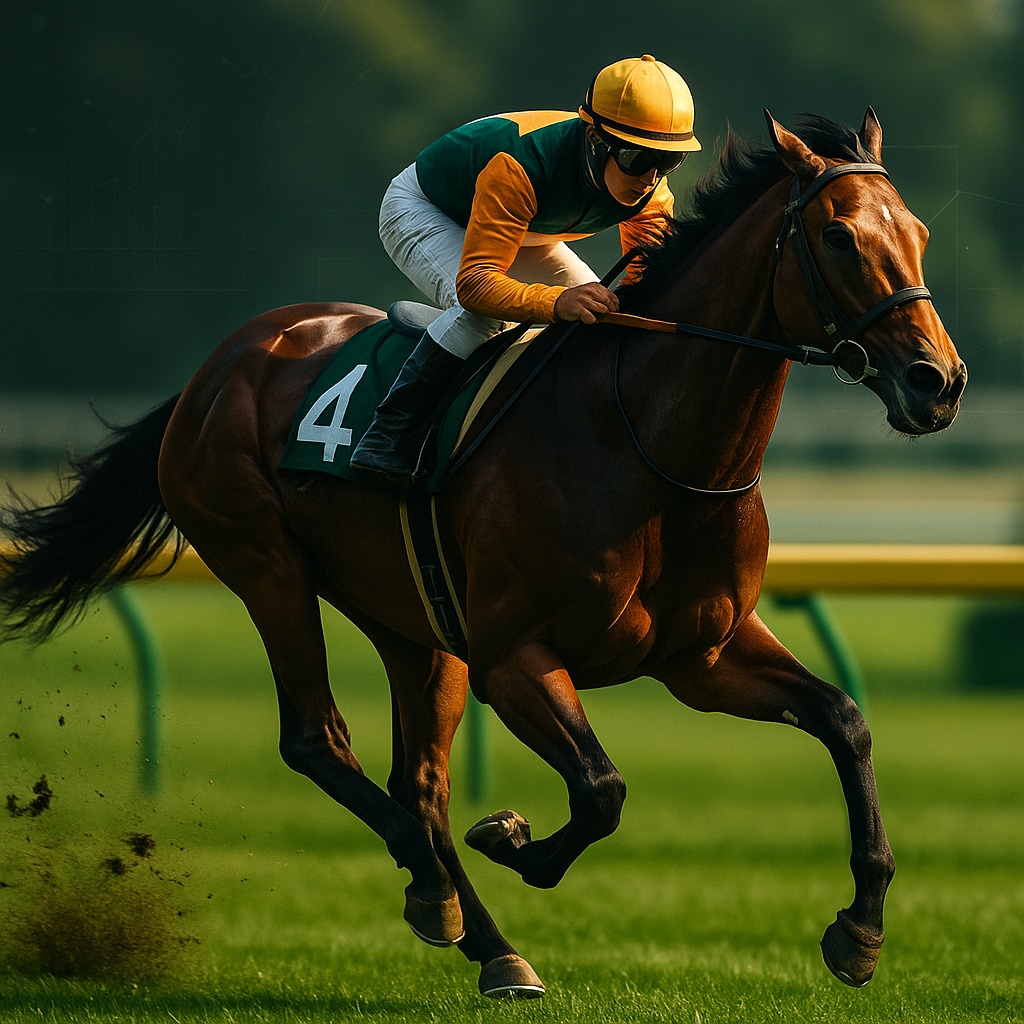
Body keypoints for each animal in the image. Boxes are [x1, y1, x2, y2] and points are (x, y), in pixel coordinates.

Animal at [0, 109, 966, 998]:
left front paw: (860, 930)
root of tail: (218, 366)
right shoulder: (514, 657)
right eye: (839, 235)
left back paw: (480, 936)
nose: (939, 383)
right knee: (320, 741)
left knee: (418, 781)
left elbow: (843, 719)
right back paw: (443, 896)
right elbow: (600, 789)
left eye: (919, 232)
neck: (651, 444)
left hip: (411, 620)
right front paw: (514, 839)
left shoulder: (702, 655)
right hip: (265, 567)